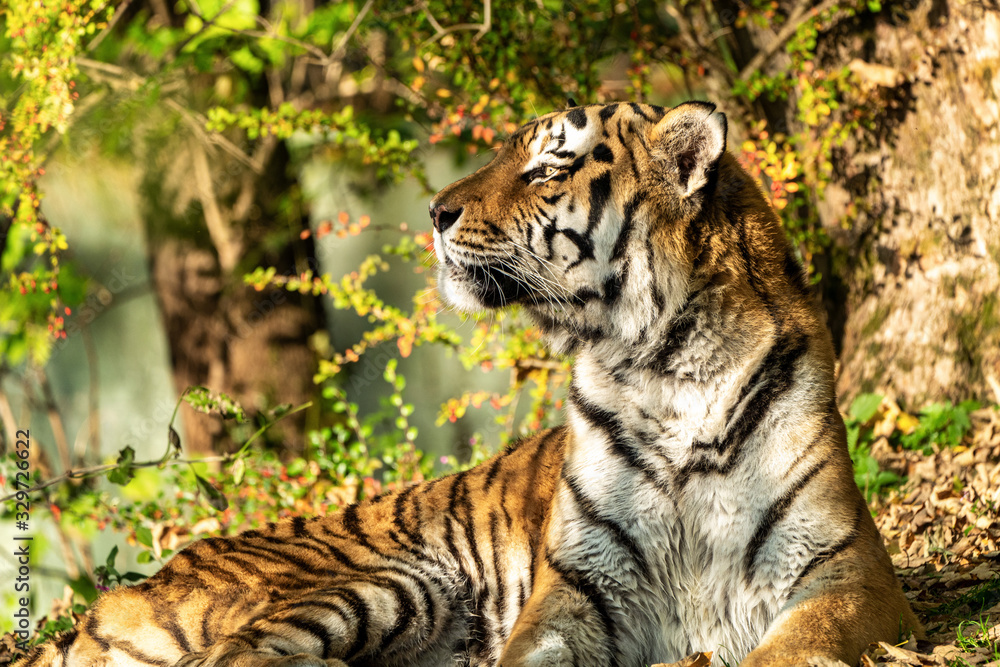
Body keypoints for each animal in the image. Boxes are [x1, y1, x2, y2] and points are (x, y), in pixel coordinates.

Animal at [15, 101, 920, 667]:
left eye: (547, 168)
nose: (434, 211)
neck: (661, 369)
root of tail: (122, 591)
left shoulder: (849, 575)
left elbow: (787, 649)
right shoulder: (577, 591)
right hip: (392, 579)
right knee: (234, 656)